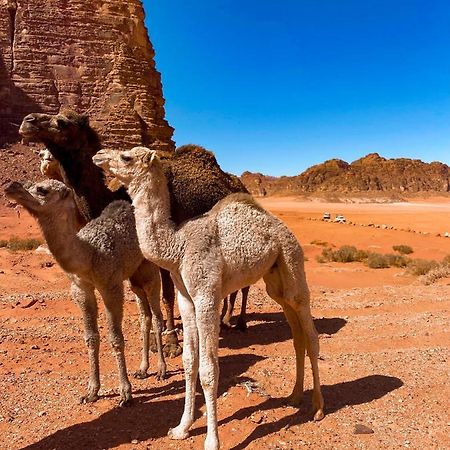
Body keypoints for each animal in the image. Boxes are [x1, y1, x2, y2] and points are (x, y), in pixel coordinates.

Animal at [4, 180, 167, 408]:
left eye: (42, 189)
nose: (11, 186)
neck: (89, 254)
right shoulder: (81, 289)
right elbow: (91, 337)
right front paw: (91, 392)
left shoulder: (110, 286)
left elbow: (116, 338)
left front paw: (125, 394)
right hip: (134, 275)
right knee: (145, 315)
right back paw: (143, 369)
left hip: (149, 268)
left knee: (157, 315)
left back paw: (162, 370)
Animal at [93, 148, 324, 450]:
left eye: (127, 157)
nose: (99, 155)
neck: (177, 247)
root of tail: (283, 228)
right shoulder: (186, 299)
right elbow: (189, 362)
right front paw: (181, 428)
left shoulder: (206, 296)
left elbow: (208, 369)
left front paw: (212, 440)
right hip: (276, 282)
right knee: (296, 334)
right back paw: (295, 396)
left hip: (292, 260)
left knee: (310, 332)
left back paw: (318, 407)